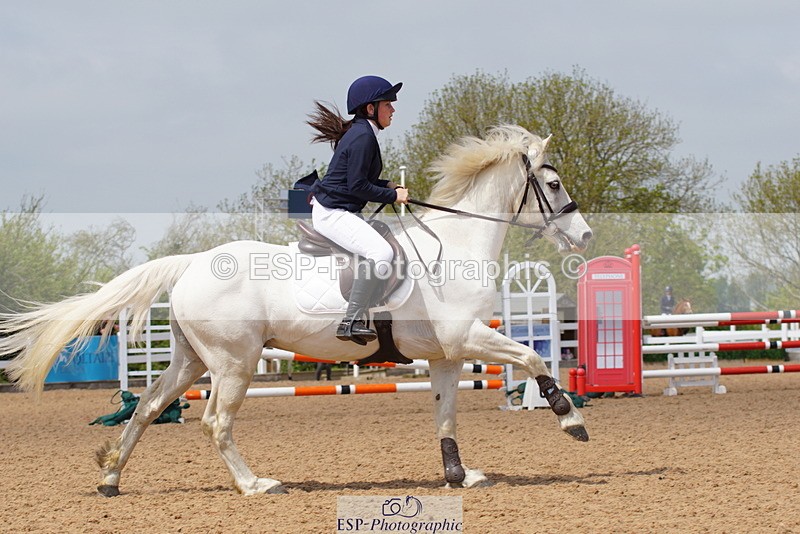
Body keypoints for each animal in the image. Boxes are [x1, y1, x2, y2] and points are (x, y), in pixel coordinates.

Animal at [0, 125, 593, 497]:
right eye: (553, 183)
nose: (585, 236)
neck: (456, 246)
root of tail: (193, 263)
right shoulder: (468, 336)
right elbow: (533, 359)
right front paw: (570, 418)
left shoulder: (446, 353)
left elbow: (445, 414)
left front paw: (458, 475)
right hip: (234, 364)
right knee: (215, 422)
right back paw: (255, 484)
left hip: (192, 361)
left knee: (145, 409)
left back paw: (111, 479)